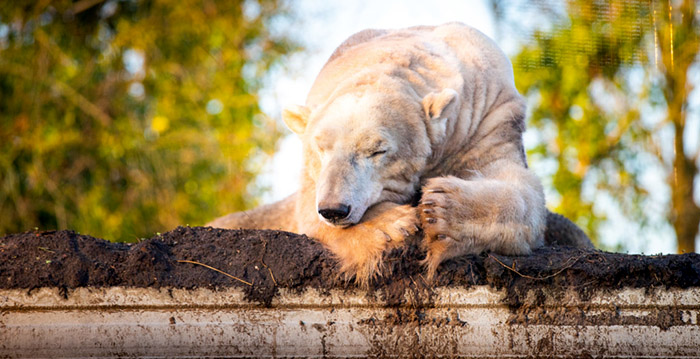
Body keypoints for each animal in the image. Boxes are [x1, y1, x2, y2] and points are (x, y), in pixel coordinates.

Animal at [208, 23, 592, 286]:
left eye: (377, 150)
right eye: (321, 148)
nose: (334, 209)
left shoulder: (487, 114)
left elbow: (519, 188)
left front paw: (443, 208)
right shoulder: (310, 176)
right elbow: (308, 214)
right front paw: (391, 226)